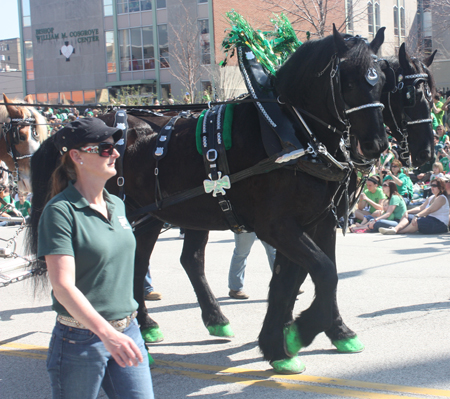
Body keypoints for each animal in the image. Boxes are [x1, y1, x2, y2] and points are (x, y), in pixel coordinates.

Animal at [28, 28, 388, 376]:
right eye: (348, 80)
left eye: (382, 79)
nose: (376, 144)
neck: (288, 132)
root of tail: (64, 133)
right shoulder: (278, 227)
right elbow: (323, 272)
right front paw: (297, 334)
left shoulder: (317, 221)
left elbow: (298, 278)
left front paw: (296, 339)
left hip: (156, 219)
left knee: (157, 264)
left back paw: (176, 323)